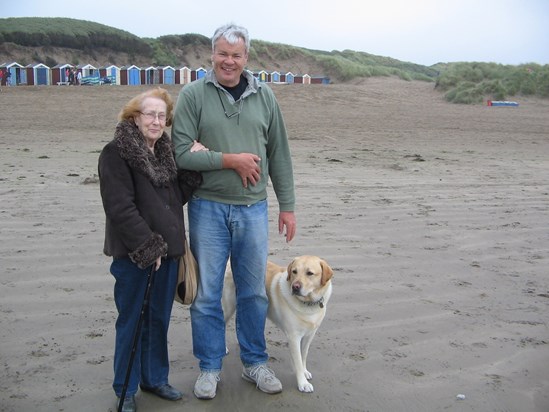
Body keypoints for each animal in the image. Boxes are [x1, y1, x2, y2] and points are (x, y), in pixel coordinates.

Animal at [220, 254, 332, 392]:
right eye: (294, 271)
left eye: (310, 273)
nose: (295, 287)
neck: (308, 303)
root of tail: (229, 263)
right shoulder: (293, 337)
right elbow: (298, 360)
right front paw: (303, 382)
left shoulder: (309, 335)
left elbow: (303, 355)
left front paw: (305, 371)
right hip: (228, 307)